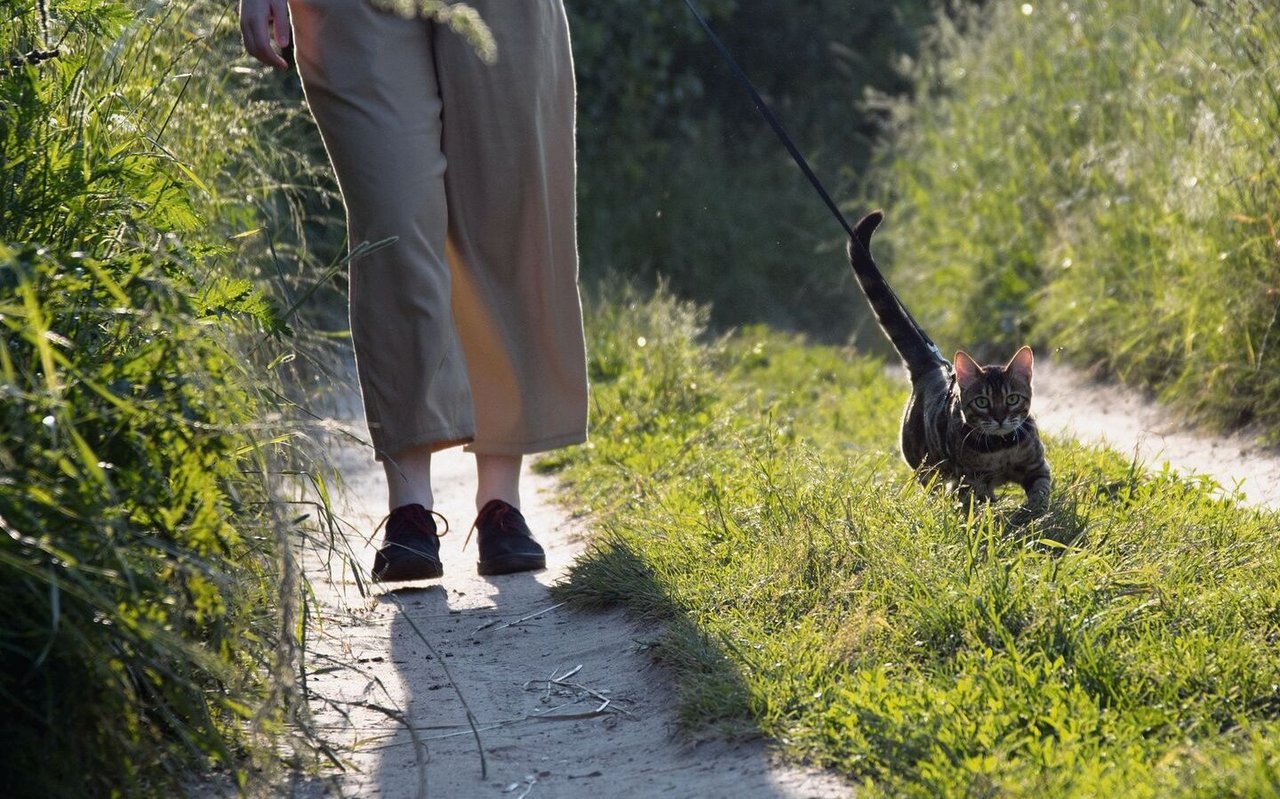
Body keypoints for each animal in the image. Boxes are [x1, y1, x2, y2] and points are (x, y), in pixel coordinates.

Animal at [849, 212, 1049, 512]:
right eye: (982, 402)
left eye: (1013, 399)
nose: (1000, 417)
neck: (1001, 448)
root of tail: (930, 367)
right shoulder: (973, 480)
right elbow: (981, 501)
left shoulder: (1038, 466)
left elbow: (1041, 492)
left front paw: (1035, 512)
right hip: (925, 464)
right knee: (936, 485)